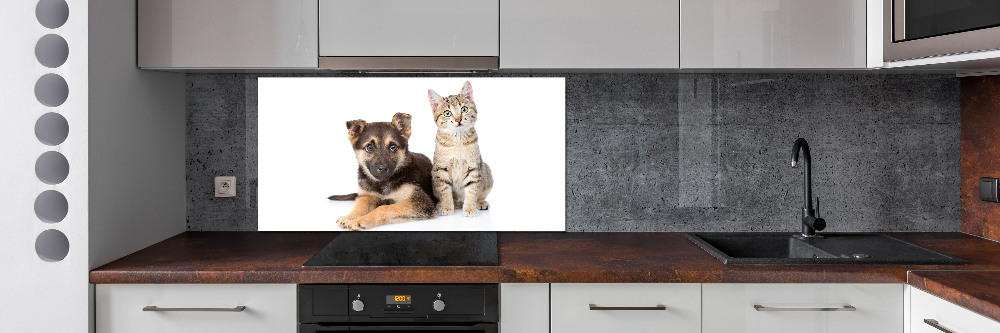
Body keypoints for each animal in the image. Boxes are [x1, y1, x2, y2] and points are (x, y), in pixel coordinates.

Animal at [428, 80, 494, 215]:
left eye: (464, 109)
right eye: (447, 113)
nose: (458, 119)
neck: (457, 141)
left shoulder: (474, 168)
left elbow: (472, 190)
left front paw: (470, 208)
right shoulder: (440, 169)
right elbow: (444, 191)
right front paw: (446, 206)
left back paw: (480, 203)